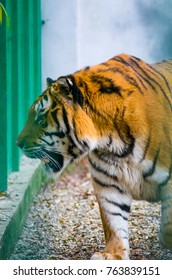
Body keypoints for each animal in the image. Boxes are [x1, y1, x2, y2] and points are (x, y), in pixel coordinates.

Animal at [16, 53, 172, 260]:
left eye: (40, 118)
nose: (17, 143)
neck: (113, 141)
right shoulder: (109, 184)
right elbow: (114, 221)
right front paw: (112, 255)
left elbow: (168, 226)